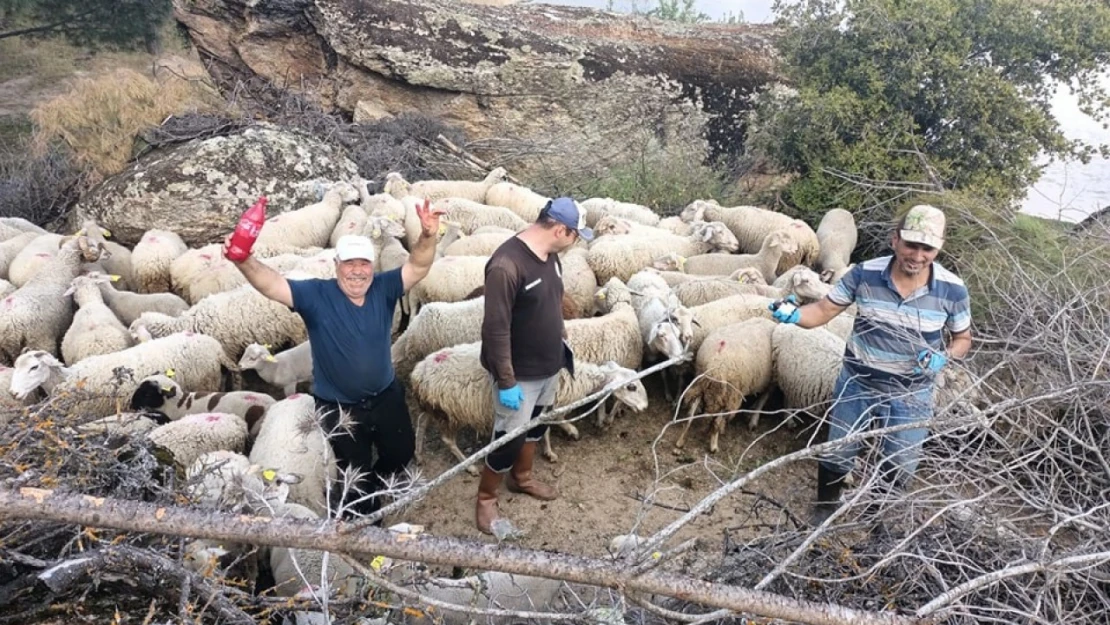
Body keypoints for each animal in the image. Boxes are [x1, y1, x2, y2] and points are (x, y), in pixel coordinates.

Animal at [9, 330, 238, 417]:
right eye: (16, 366)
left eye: (34, 367)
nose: (12, 394)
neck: (68, 380)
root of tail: (216, 347)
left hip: (207, 382)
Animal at [412, 344, 648, 472]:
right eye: (631, 387)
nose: (645, 407)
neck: (576, 377)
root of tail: (419, 373)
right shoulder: (546, 405)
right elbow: (547, 430)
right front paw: (551, 451)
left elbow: (557, 421)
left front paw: (570, 430)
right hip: (451, 412)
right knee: (448, 440)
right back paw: (468, 466)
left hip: (435, 408)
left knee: (421, 422)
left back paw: (419, 454)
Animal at [670, 319, 777, 452]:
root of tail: (716, 360)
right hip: (726, 390)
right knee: (717, 419)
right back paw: (714, 445)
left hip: (702, 381)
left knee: (691, 413)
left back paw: (681, 441)